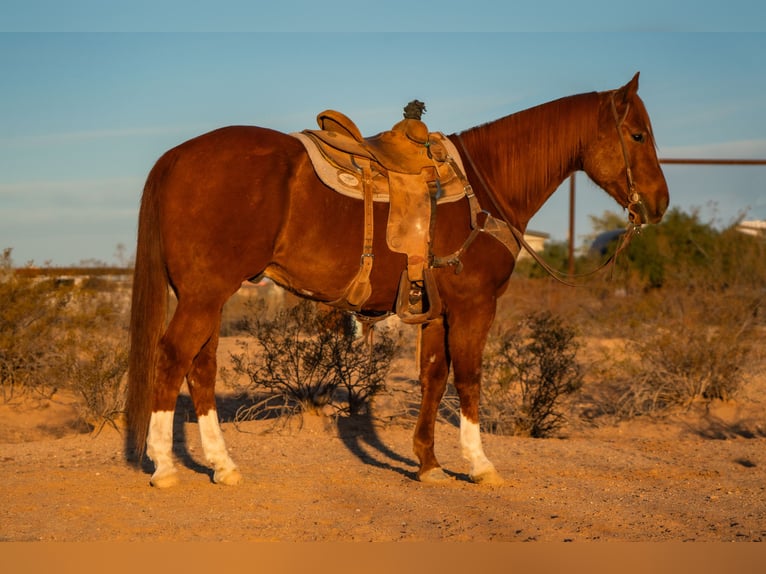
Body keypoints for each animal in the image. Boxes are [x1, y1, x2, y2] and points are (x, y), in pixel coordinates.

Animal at [124, 70, 664, 488]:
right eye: (638, 135)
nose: (660, 203)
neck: (485, 186)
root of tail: (175, 157)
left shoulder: (437, 312)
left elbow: (433, 377)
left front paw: (428, 464)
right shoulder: (475, 305)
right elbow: (469, 378)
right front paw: (480, 465)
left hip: (205, 295)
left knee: (202, 367)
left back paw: (223, 466)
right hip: (204, 295)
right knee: (172, 359)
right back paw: (166, 468)